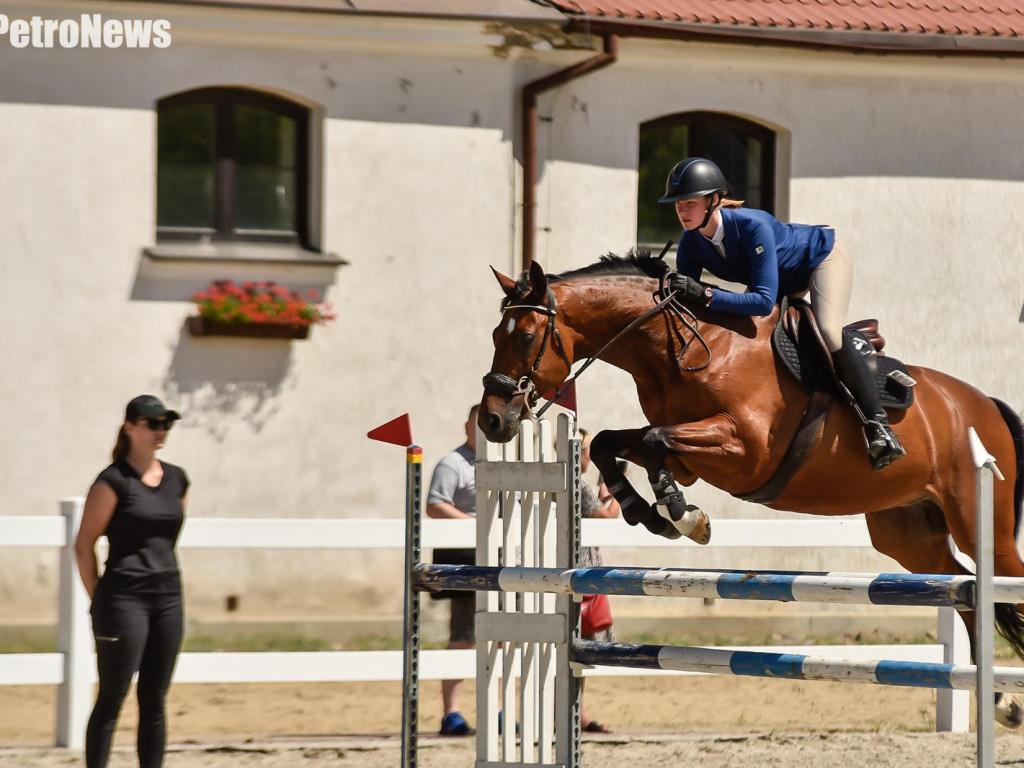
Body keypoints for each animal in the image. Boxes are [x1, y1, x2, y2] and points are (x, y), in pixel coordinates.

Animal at [477, 252, 1024, 729]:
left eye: (527, 337)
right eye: (495, 335)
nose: (492, 420)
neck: (684, 346)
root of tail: (983, 403)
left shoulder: (744, 450)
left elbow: (653, 442)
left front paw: (682, 515)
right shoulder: (690, 455)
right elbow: (616, 443)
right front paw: (651, 512)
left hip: (980, 522)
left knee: (1000, 580)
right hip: (909, 535)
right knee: (965, 590)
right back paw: (1002, 703)